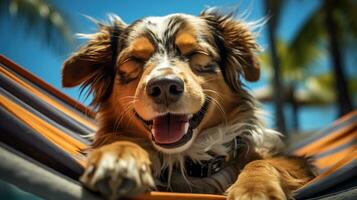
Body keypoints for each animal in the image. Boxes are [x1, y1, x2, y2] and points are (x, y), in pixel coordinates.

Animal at [60, 9, 314, 200]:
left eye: (195, 53)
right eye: (133, 60)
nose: (164, 86)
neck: (189, 162)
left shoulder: (296, 161)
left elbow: (264, 163)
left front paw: (254, 188)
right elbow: (121, 143)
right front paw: (119, 159)